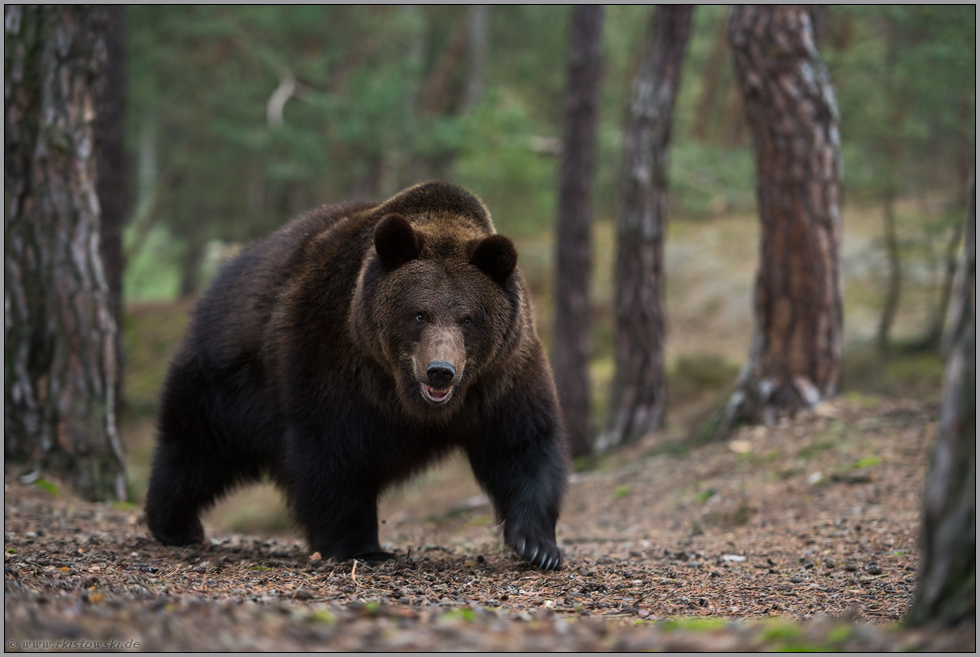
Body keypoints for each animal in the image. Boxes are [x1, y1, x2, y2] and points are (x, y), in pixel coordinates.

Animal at [144, 179, 568, 568]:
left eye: (468, 318)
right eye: (419, 314)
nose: (440, 372)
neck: (404, 394)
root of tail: (226, 271)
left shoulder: (501, 374)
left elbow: (523, 443)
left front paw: (538, 546)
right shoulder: (334, 357)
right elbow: (334, 451)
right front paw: (362, 547)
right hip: (232, 376)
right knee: (197, 446)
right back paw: (174, 524)